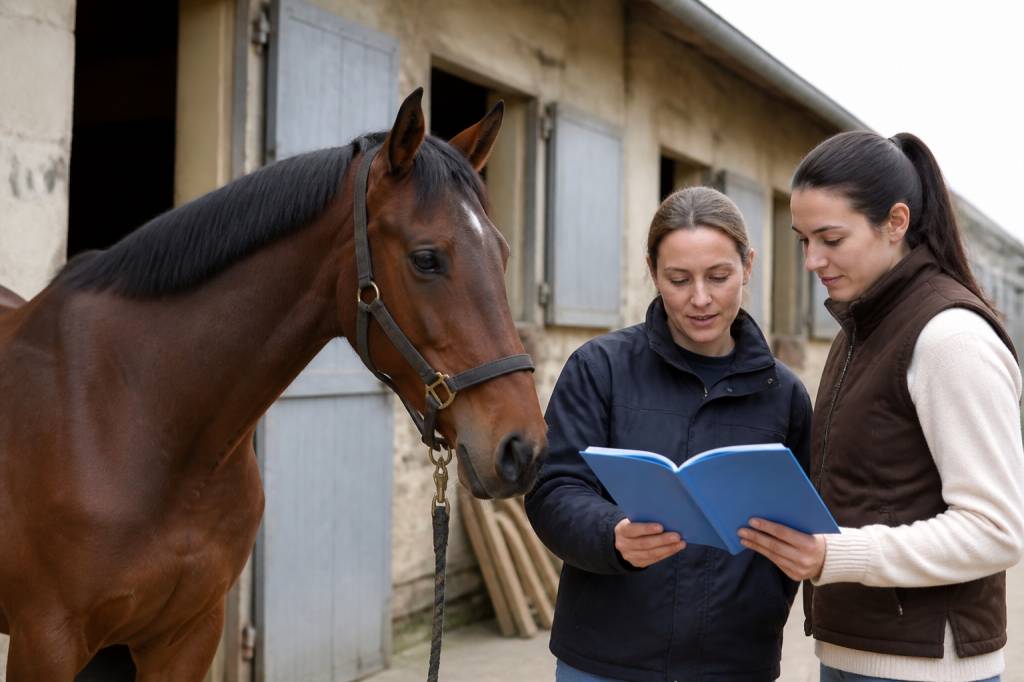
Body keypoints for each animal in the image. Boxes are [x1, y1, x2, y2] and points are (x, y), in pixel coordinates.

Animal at [0, 88, 547, 681]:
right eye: (426, 258)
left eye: (503, 253)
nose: (523, 449)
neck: (133, 415)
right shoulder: (46, 641)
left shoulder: (187, 634)